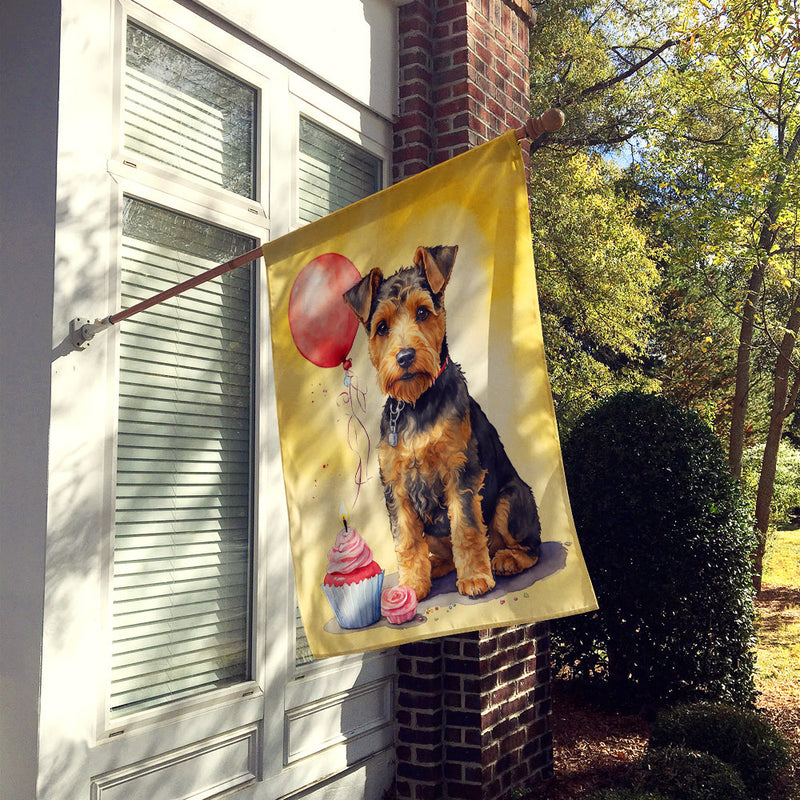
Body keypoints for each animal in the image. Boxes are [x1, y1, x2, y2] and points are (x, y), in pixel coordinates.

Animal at [346, 244, 544, 600]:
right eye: (381, 327)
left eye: (423, 312)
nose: (405, 357)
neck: (416, 403)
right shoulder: (396, 487)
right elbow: (407, 541)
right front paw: (411, 586)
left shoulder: (460, 471)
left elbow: (465, 527)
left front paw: (475, 578)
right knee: (445, 551)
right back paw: (436, 566)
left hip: (510, 499)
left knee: (529, 546)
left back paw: (505, 559)